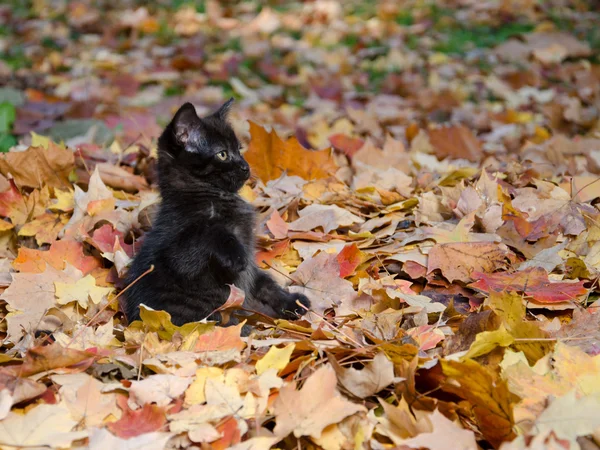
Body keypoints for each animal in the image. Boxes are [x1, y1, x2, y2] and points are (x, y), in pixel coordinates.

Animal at [122, 100, 310, 326]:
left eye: (239, 150)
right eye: (222, 154)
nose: (246, 167)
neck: (213, 197)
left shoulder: (252, 263)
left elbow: (265, 284)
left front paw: (292, 303)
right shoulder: (177, 252)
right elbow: (207, 231)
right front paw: (235, 254)